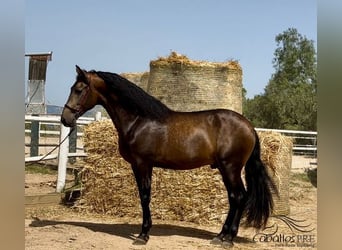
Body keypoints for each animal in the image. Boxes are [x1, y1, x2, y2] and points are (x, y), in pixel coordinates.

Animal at [60, 65, 276, 247]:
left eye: (79, 90)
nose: (65, 119)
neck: (139, 120)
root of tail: (249, 127)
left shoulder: (142, 164)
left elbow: (145, 196)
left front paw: (143, 235)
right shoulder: (139, 165)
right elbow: (143, 196)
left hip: (230, 167)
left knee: (238, 196)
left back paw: (228, 239)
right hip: (226, 169)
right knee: (234, 197)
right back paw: (220, 236)